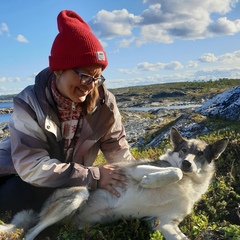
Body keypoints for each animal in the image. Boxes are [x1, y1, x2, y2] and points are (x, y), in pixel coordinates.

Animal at [0, 126, 228, 239]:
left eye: (200, 154)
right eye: (184, 150)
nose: (186, 163)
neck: (191, 182)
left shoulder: (164, 223)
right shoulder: (137, 170)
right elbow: (174, 171)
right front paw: (150, 181)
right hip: (78, 194)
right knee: (29, 233)